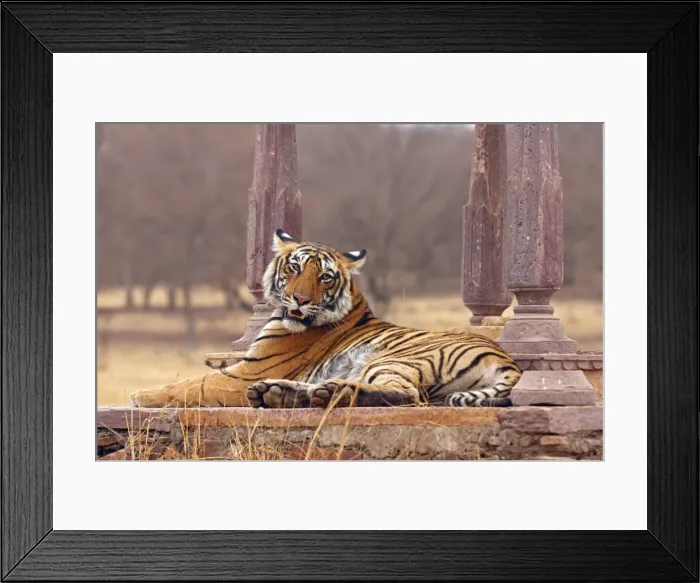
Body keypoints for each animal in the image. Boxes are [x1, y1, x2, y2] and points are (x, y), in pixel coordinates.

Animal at [128, 229, 521, 409]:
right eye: (295, 267)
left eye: (326, 277)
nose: (301, 299)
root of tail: (506, 359)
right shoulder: (249, 373)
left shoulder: (244, 373)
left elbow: (191, 384)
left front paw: (139, 395)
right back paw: (285, 394)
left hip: (392, 360)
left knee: (408, 395)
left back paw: (328, 392)